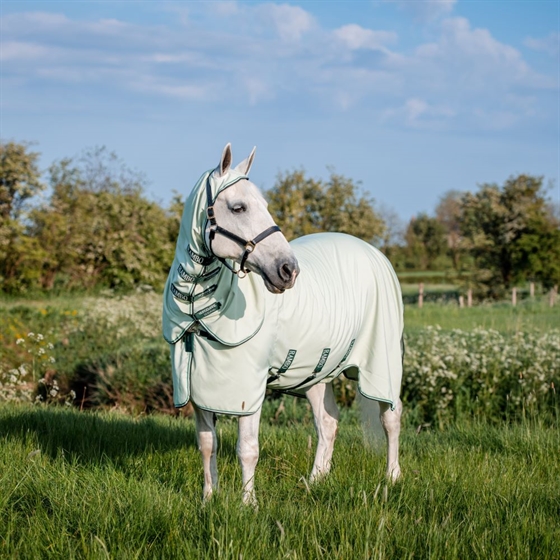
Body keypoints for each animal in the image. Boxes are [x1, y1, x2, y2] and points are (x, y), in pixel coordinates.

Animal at [162, 143, 402, 504]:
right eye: (239, 207)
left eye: (265, 206)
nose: (288, 270)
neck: (198, 307)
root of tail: (375, 253)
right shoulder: (198, 386)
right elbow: (207, 445)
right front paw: (208, 499)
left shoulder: (249, 389)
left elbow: (247, 448)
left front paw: (248, 504)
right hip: (318, 372)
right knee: (327, 422)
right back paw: (315, 481)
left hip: (383, 362)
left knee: (390, 417)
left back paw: (392, 478)